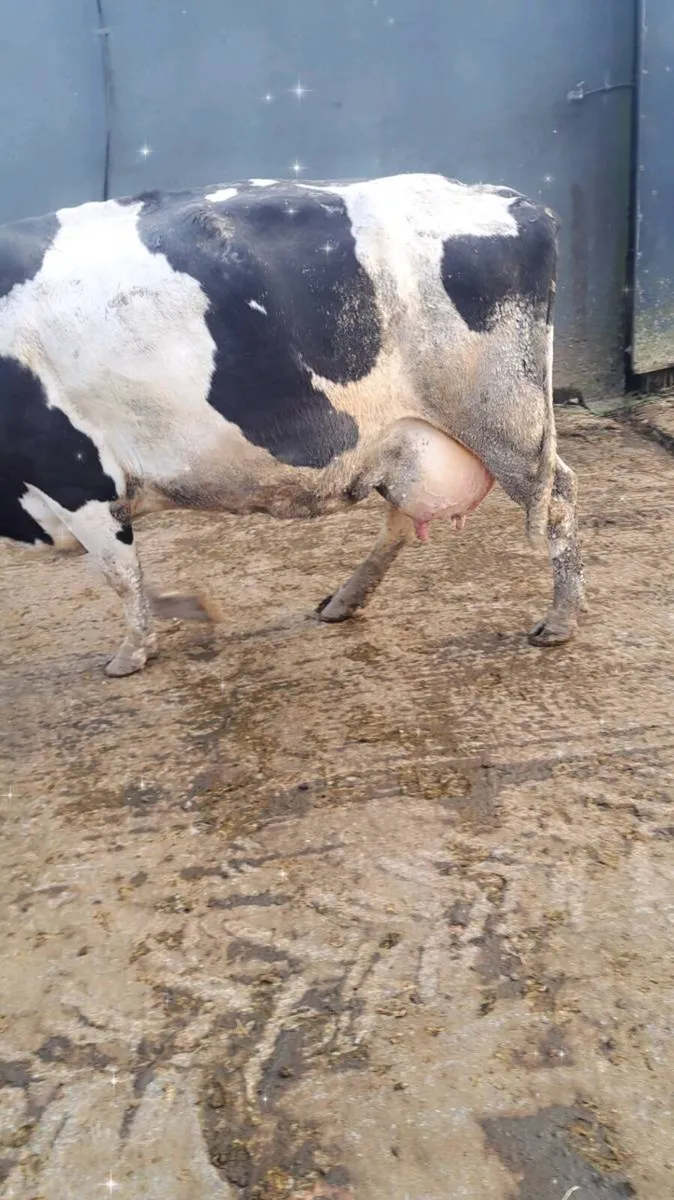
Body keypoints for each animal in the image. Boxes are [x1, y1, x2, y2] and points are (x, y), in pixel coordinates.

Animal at [0, 173, 584, 676]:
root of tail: (516, 201)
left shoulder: (76, 474)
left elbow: (121, 575)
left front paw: (134, 651)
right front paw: (189, 610)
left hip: (502, 416)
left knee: (557, 495)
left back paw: (560, 620)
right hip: (406, 433)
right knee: (402, 516)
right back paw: (343, 601)